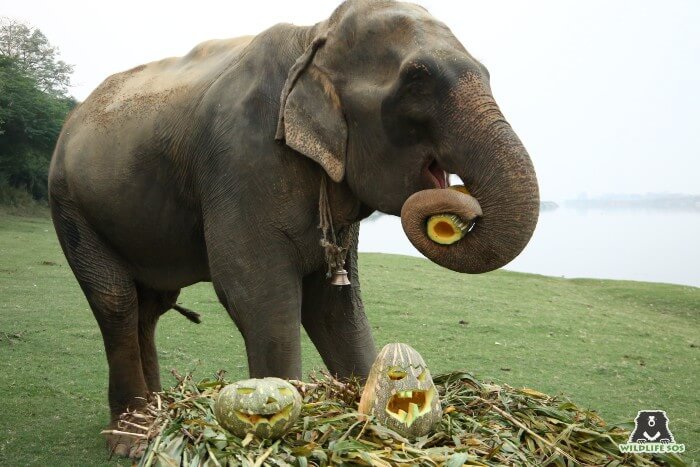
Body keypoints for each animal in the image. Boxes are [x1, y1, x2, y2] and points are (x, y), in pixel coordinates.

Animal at [49, 0, 540, 458]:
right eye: (416, 80)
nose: (455, 210)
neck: (314, 38)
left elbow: (334, 303)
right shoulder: (241, 158)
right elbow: (256, 292)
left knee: (149, 307)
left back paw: (157, 418)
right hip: (69, 203)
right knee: (116, 301)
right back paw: (132, 438)